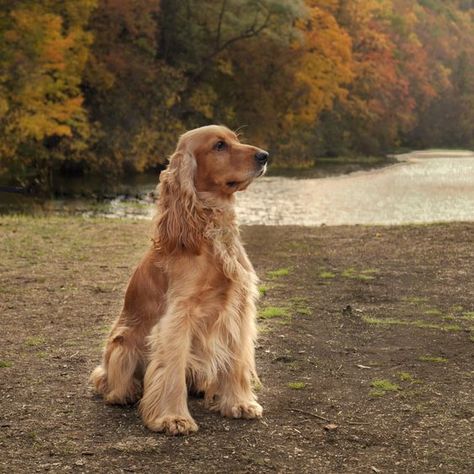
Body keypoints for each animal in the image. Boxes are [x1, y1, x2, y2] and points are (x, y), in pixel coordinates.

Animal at [90, 125, 268, 434]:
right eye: (219, 146)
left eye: (235, 139)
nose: (264, 155)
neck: (211, 228)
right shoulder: (177, 317)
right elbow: (171, 371)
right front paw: (173, 418)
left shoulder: (238, 308)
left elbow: (236, 360)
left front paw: (240, 403)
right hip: (121, 344)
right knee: (109, 381)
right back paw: (126, 393)